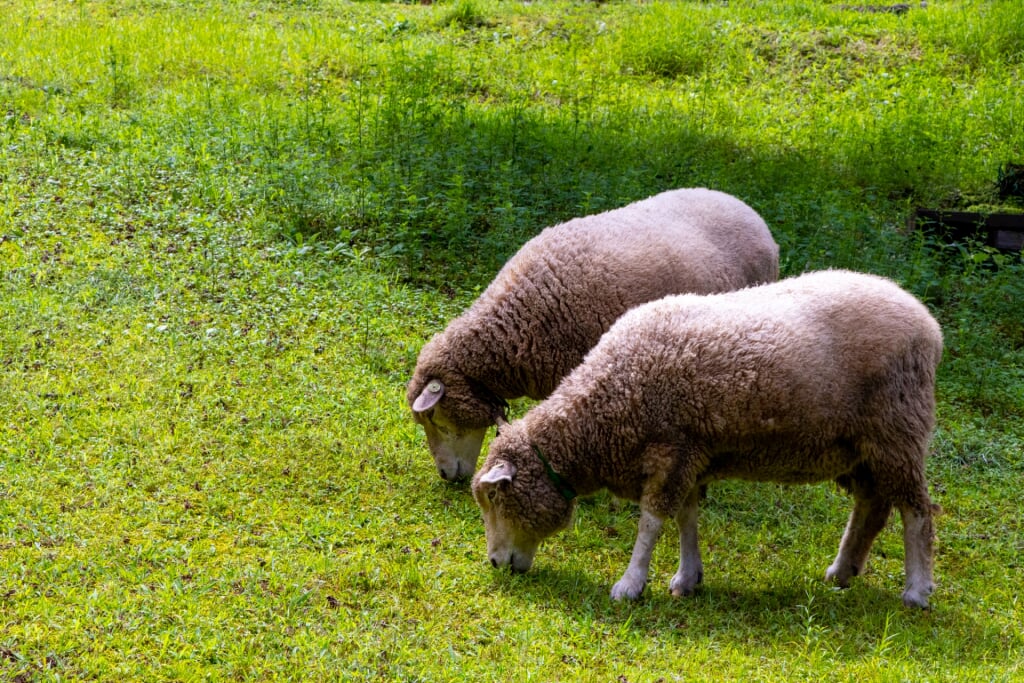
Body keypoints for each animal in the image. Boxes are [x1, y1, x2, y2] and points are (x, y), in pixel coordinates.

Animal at [471, 270, 942, 610]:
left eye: (495, 498)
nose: (495, 563)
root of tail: (927, 323)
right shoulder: (692, 455)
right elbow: (687, 518)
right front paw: (688, 578)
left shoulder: (671, 450)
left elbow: (651, 522)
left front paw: (630, 584)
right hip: (859, 448)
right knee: (872, 506)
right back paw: (843, 571)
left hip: (898, 431)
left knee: (917, 512)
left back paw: (917, 591)